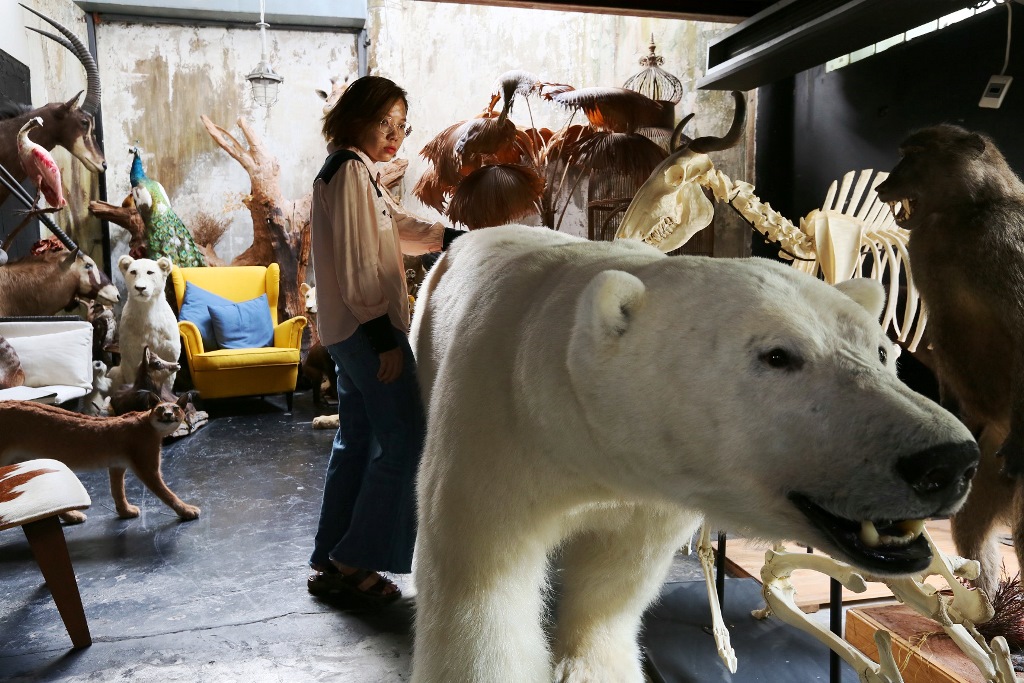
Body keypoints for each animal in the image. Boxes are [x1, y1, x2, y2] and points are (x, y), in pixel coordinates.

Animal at [113, 255, 180, 392]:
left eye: (150, 272)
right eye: (133, 272)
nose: (140, 288)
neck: (146, 310)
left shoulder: (170, 355)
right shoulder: (129, 360)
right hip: (114, 371)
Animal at [409, 226, 979, 683]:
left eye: (883, 351)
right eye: (778, 356)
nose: (948, 462)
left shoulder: (650, 500)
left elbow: (616, 580)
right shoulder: (502, 433)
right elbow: (481, 589)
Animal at [876, 124, 1024, 597]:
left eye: (916, 155)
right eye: (903, 152)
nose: (884, 186)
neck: (963, 215)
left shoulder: (1006, 238)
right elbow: (938, 328)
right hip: (990, 456)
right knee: (972, 528)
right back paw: (987, 608)